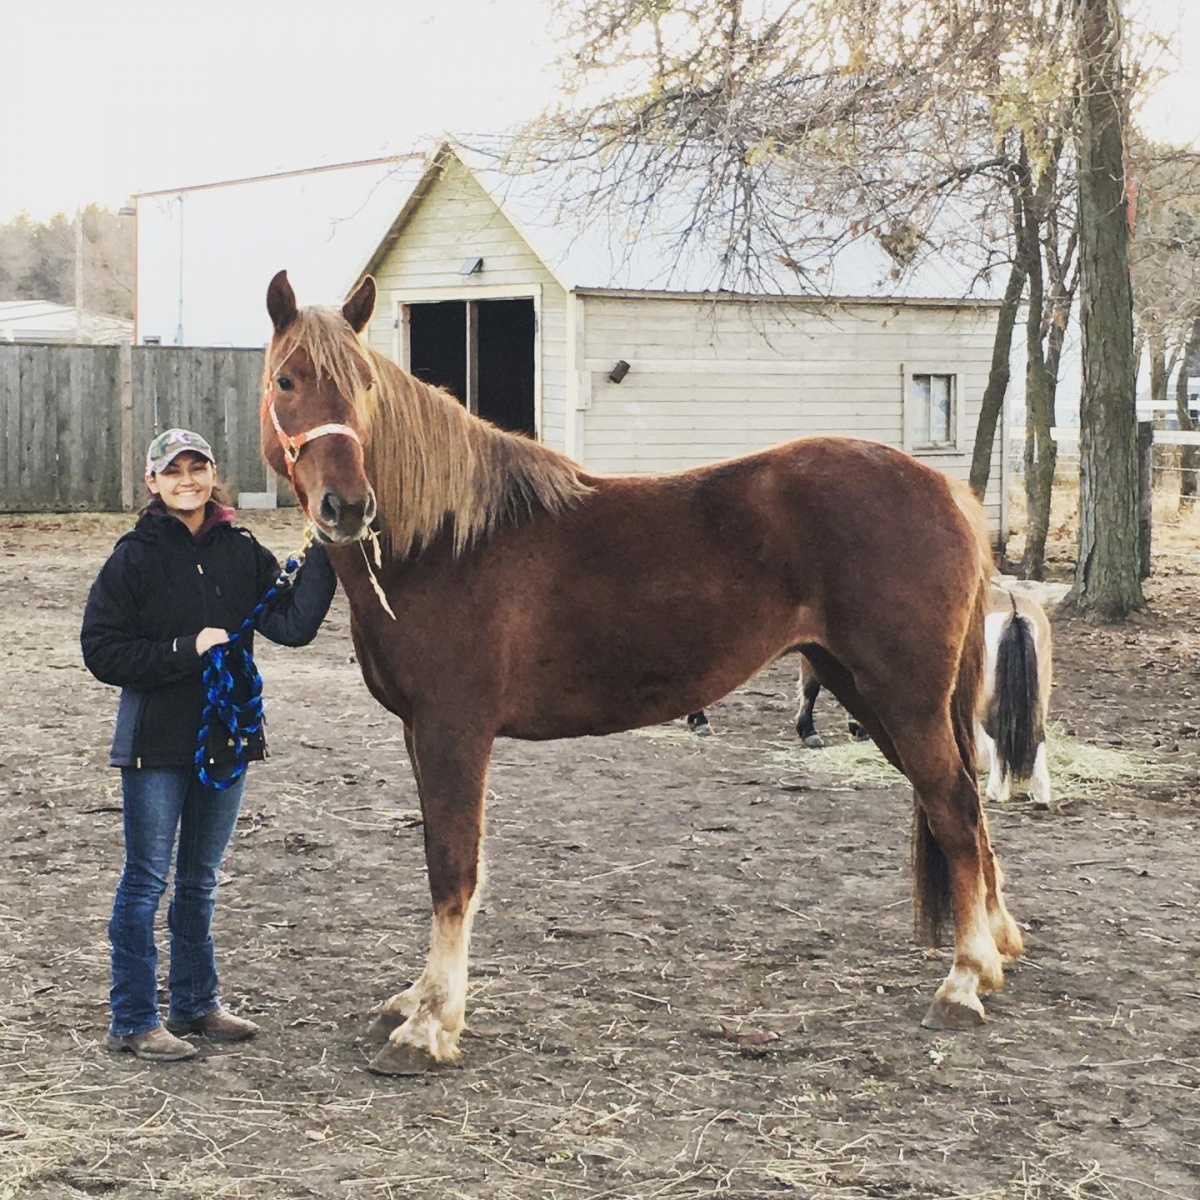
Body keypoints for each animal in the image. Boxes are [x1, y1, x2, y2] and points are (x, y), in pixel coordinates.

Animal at [260, 272, 1022, 1080]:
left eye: (365, 387)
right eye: (287, 379)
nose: (347, 506)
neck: (442, 543)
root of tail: (949, 494)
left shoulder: (452, 732)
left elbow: (453, 867)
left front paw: (431, 1024)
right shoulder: (419, 732)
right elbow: (442, 858)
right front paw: (415, 1000)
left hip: (904, 701)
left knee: (957, 812)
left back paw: (964, 981)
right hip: (870, 697)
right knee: (963, 810)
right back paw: (995, 955)